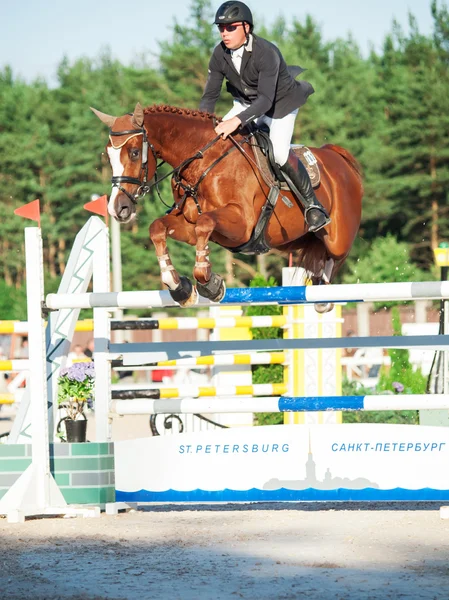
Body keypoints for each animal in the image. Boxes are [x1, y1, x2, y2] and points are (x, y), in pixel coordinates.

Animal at [90, 102, 360, 308]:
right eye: (109, 156)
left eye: (135, 153)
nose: (118, 209)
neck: (202, 162)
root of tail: (337, 155)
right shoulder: (188, 226)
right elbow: (158, 228)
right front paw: (179, 287)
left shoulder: (242, 226)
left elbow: (205, 223)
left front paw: (209, 283)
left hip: (338, 239)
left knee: (334, 257)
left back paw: (323, 294)